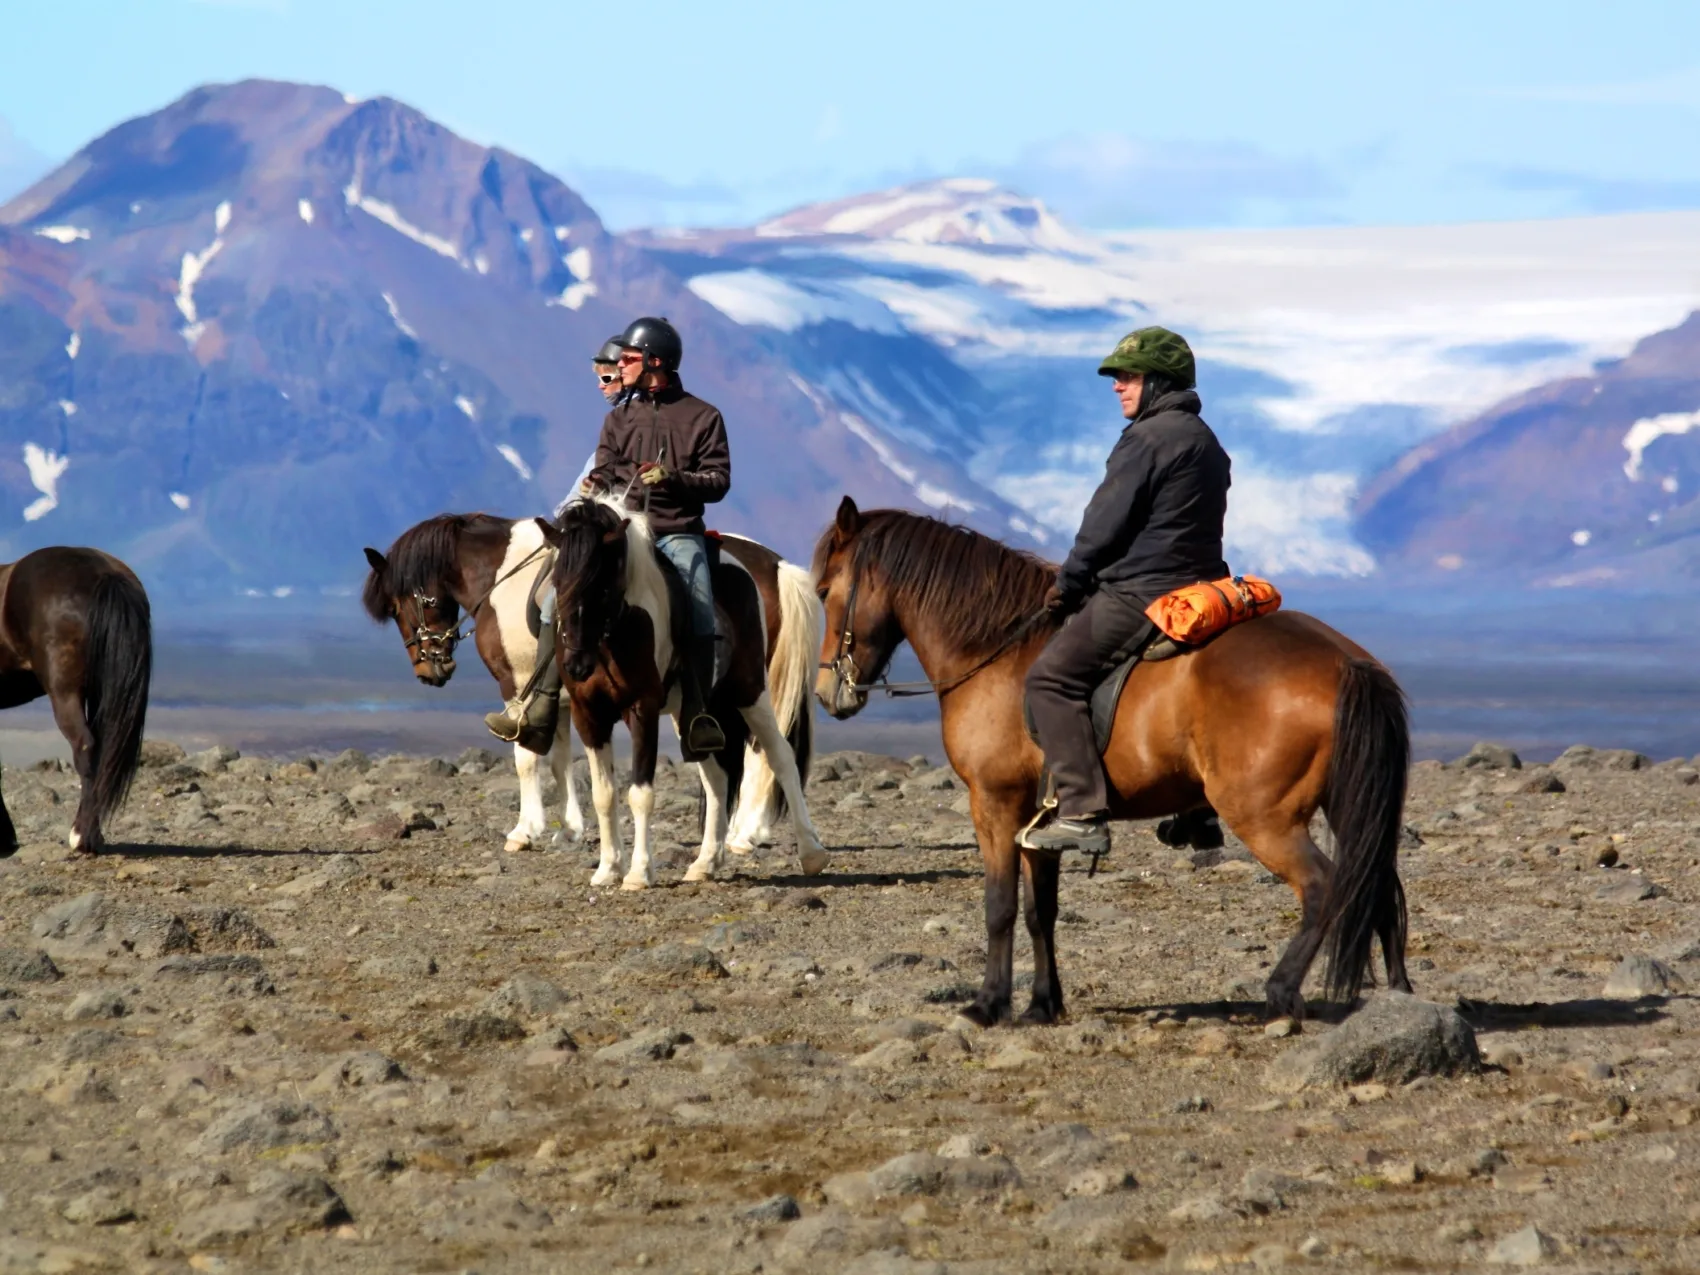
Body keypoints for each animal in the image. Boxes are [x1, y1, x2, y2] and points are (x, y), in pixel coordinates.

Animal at [530, 493, 822, 890]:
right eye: (558, 580)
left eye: (600, 585)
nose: (576, 664)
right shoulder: (587, 713)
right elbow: (604, 795)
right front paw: (608, 868)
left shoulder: (642, 709)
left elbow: (640, 794)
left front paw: (638, 873)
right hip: (695, 715)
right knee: (717, 779)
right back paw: (705, 862)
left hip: (751, 693)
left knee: (780, 757)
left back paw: (811, 852)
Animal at [809, 499, 1407, 1026]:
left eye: (824, 591)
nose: (825, 693)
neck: (995, 649)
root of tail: (1347, 661)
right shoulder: (1039, 823)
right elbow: (1041, 912)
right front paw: (1042, 1005)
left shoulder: (995, 805)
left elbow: (1000, 907)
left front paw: (988, 1005)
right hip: (1347, 805)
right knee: (1374, 884)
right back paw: (1397, 994)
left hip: (1265, 817)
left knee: (1323, 887)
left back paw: (1281, 992)